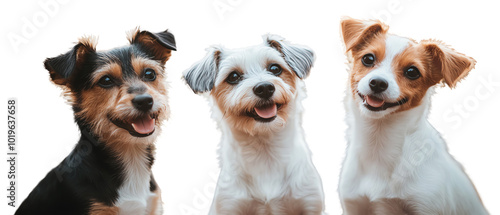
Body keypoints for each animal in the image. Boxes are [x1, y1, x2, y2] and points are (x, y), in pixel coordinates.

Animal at [184, 34, 324, 214]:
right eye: (233, 77)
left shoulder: (310, 202)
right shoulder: (230, 205)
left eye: (275, 68)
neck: (266, 152)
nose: (264, 88)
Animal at [338, 17, 490, 214]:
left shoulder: (426, 206)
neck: (379, 142)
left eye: (412, 72)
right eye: (368, 58)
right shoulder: (354, 205)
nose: (378, 83)